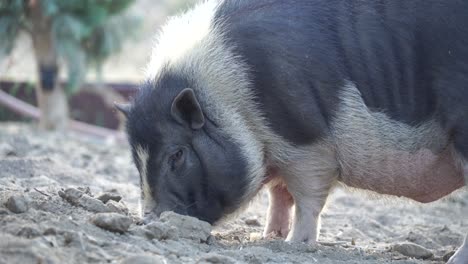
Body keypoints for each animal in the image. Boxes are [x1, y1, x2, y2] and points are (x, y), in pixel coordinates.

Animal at [115, 0, 466, 262]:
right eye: (136, 159)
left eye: (176, 154)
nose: (148, 219)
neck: (232, 104)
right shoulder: (278, 152)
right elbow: (279, 193)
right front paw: (268, 236)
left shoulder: (306, 142)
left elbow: (306, 197)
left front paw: (293, 245)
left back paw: (453, 259)